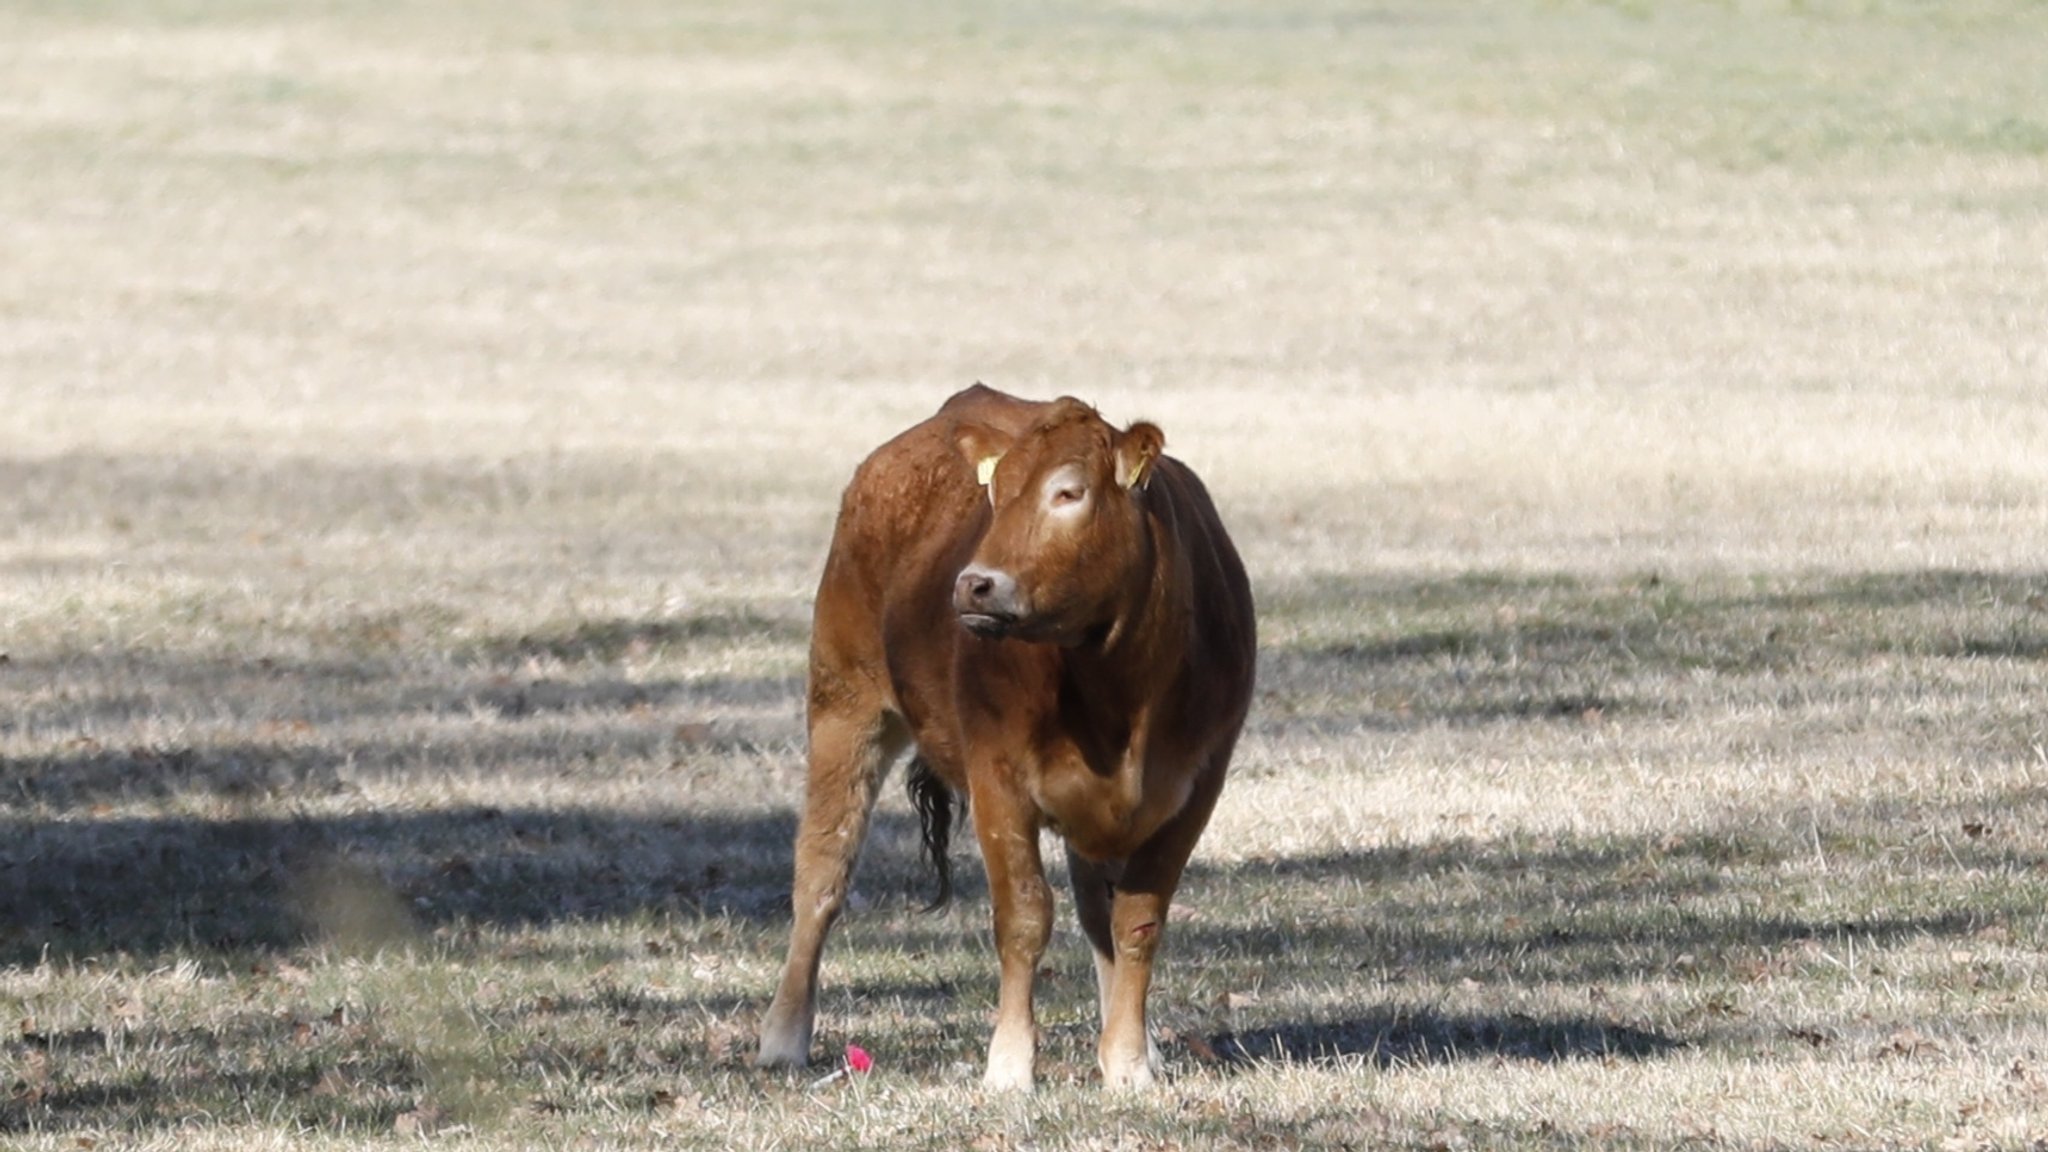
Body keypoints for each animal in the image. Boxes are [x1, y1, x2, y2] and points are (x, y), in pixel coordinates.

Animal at [757, 383, 1253, 1082]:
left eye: (1069, 492)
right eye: (996, 493)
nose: (974, 584)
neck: (1120, 693)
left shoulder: (1198, 784)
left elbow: (1134, 920)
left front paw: (1129, 1061)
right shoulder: (997, 777)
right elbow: (1023, 916)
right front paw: (1010, 1065)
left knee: (1095, 908)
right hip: (843, 703)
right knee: (823, 871)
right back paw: (784, 1034)